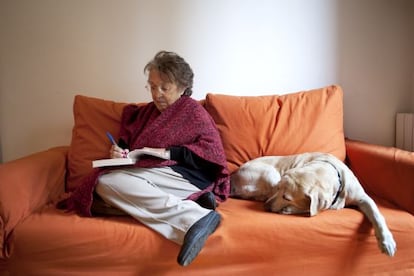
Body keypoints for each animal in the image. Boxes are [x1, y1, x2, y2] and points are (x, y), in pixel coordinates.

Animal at [231, 152, 396, 256]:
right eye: (278, 188)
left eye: (286, 197)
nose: (266, 206)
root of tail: (234, 178)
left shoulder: (363, 198)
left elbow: (377, 215)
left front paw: (387, 241)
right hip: (270, 174)